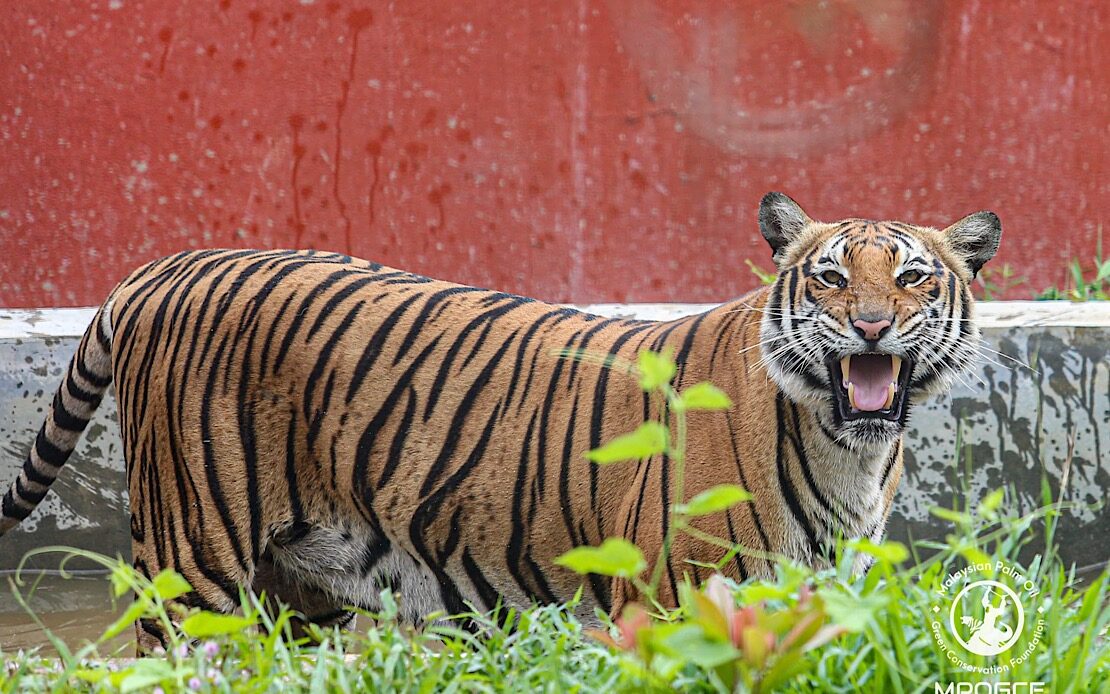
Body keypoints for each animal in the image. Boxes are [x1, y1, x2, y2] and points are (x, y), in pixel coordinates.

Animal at [0, 193, 1000, 652]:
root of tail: (166, 264)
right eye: (829, 278)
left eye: (912, 277)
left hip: (296, 593)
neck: (847, 451)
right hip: (192, 565)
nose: (868, 326)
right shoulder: (666, 599)